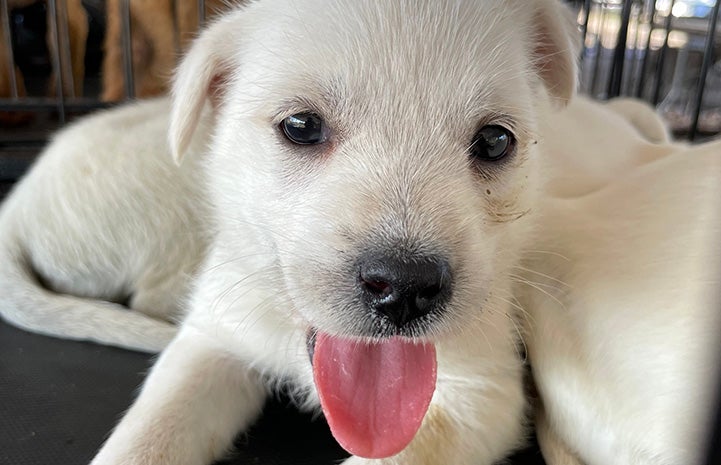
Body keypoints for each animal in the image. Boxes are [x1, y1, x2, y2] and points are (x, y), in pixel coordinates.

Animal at [80, 0, 580, 464]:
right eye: (301, 126)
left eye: (495, 141)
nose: (403, 287)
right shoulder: (212, 339)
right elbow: (147, 434)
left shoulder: (480, 397)